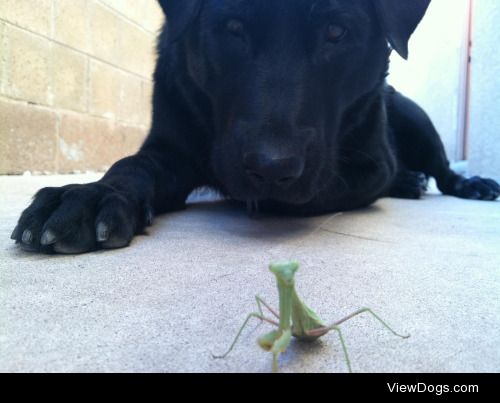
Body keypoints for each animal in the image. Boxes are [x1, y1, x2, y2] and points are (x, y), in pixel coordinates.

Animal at [11, 0, 500, 254]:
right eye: (232, 26)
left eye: (336, 32)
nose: (270, 166)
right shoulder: (170, 146)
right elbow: (131, 166)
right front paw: (90, 195)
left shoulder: (369, 163)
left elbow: (317, 191)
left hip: (416, 118)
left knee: (443, 170)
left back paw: (465, 183)